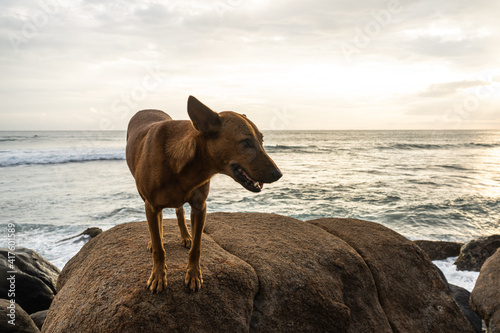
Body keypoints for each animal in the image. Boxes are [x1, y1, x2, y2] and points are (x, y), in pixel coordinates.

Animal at [125, 95, 282, 290]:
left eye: (261, 140)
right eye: (246, 142)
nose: (278, 174)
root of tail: (147, 109)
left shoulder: (200, 207)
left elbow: (197, 247)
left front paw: (193, 275)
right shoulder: (152, 205)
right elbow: (159, 249)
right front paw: (158, 276)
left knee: (179, 211)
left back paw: (185, 236)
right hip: (145, 198)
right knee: (157, 226)